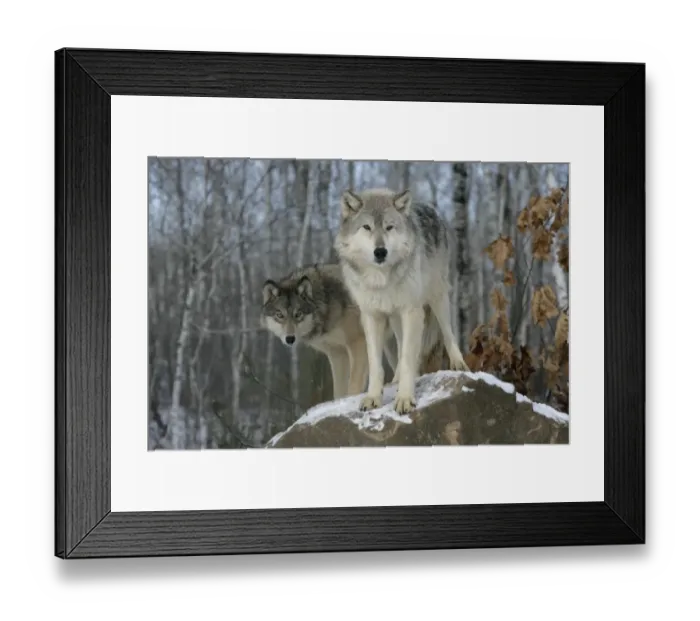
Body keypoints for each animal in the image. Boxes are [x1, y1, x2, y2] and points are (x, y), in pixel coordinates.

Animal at [260, 263, 398, 401]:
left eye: (298, 314)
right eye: (279, 315)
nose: (290, 339)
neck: (327, 303)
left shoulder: (357, 342)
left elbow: (354, 382)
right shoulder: (337, 353)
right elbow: (338, 391)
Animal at [333, 187, 469, 414]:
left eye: (389, 227)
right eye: (367, 227)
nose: (380, 251)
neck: (380, 280)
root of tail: (428, 207)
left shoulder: (412, 311)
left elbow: (407, 358)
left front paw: (405, 398)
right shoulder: (372, 316)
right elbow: (376, 364)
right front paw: (373, 397)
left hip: (437, 297)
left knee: (448, 332)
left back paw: (458, 363)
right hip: (395, 317)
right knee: (400, 343)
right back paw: (395, 379)